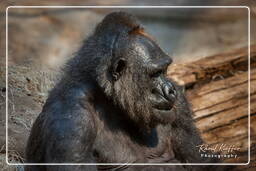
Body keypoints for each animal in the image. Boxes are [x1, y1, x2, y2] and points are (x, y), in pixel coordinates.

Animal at [24, 12, 224, 171]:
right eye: (155, 73)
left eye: (165, 70)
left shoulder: (181, 108)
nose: (170, 90)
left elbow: (202, 162)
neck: (110, 100)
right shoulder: (71, 119)